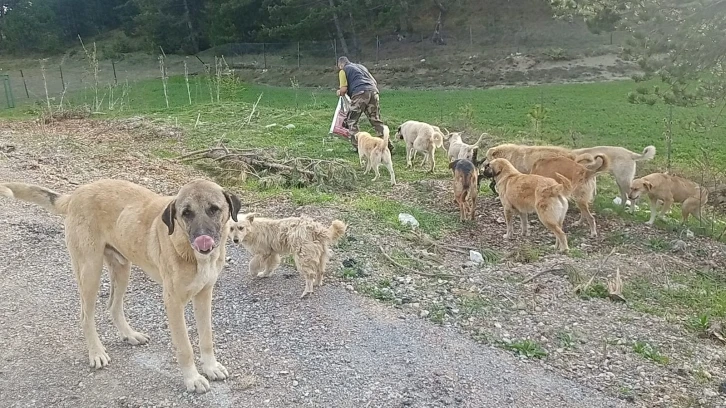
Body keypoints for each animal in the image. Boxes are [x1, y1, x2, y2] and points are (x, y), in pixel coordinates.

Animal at [0, 178, 245, 392]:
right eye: (186, 213)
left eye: (214, 209)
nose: (203, 238)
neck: (192, 253)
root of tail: (76, 194)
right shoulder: (173, 302)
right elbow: (184, 346)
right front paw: (193, 379)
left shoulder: (204, 295)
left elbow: (206, 338)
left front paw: (211, 367)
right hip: (90, 271)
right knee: (85, 316)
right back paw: (96, 353)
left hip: (121, 269)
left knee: (113, 306)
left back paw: (130, 335)